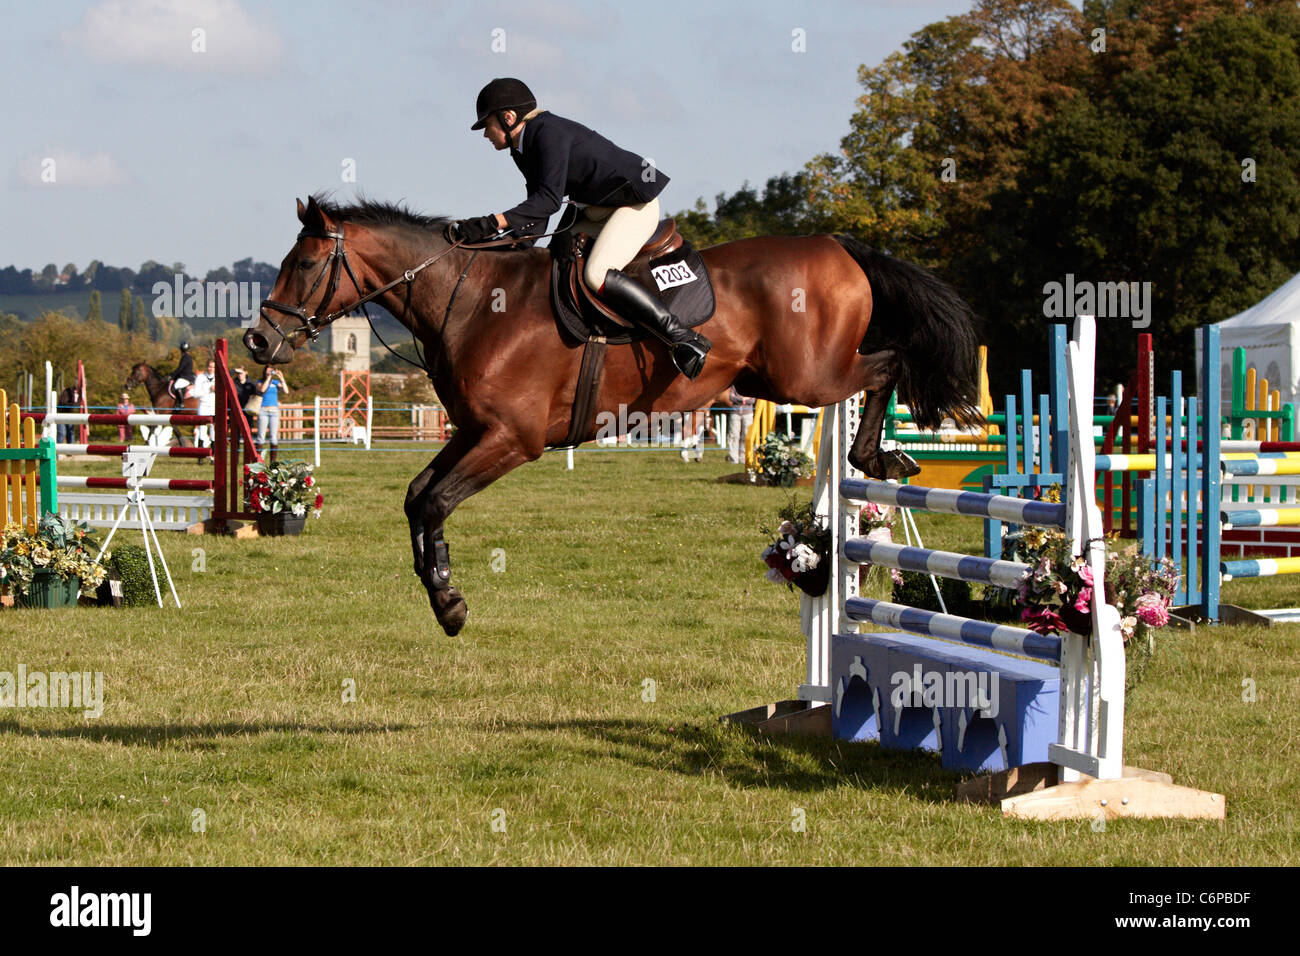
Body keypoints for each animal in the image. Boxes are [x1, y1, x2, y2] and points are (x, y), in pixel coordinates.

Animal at [241, 195, 982, 639]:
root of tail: (839, 245)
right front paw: (443, 598)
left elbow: (433, 502)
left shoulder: (511, 439)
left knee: (888, 362)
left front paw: (449, 603)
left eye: (304, 263)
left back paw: (875, 455)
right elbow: (419, 497)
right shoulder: (477, 432)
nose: (258, 342)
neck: (470, 300)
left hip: (809, 375)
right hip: (777, 376)